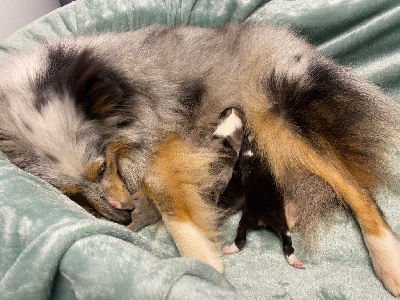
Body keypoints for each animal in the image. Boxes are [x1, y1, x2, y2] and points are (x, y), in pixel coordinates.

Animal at [0, 24, 400, 294]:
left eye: (100, 167)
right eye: (70, 193)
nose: (124, 215)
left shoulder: (170, 137)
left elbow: (166, 195)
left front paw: (204, 263)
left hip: (274, 113)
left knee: (355, 188)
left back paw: (389, 264)